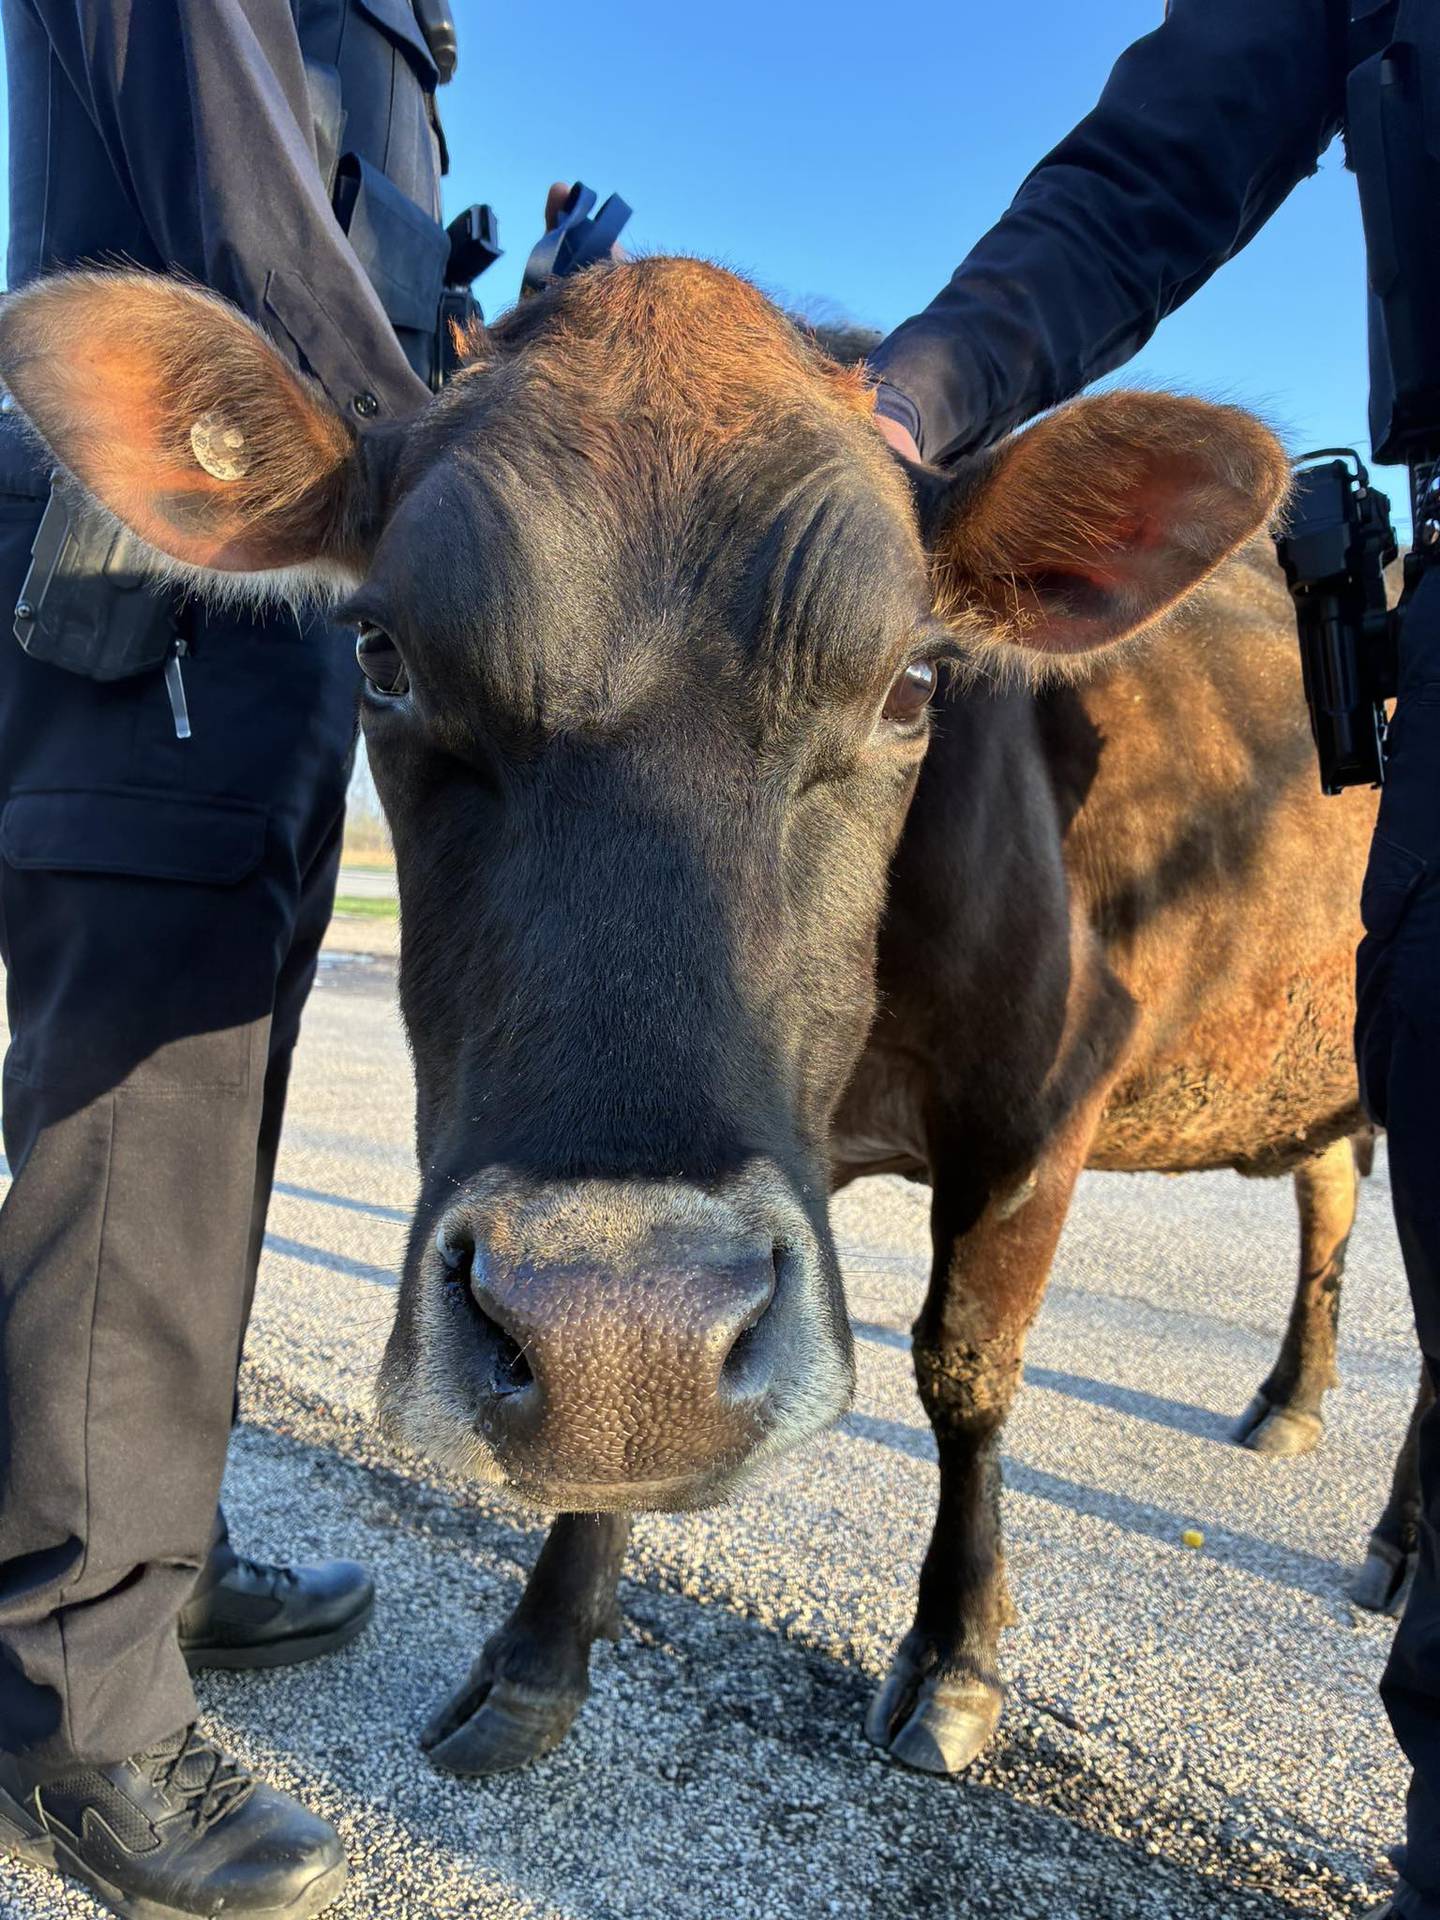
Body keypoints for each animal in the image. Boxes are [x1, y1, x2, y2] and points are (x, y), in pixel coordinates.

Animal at [0, 259, 1416, 1786]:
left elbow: (967, 1369)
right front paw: (541, 1650)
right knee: (1330, 1197)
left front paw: (957, 1654)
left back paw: (1397, 1543)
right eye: (380, 654)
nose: (615, 1328)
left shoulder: (1035, 1106)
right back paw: (1291, 1401)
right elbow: (615, 1456)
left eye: (914, 684)